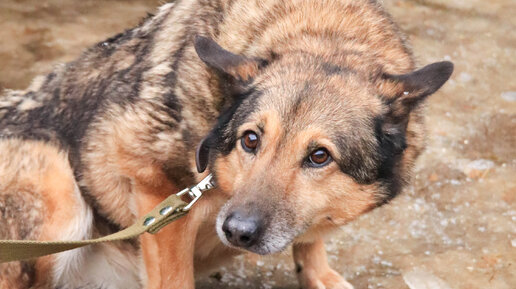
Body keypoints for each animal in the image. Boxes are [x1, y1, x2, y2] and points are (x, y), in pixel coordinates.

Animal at [0, 0, 452, 286]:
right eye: (250, 140)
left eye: (319, 156)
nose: (236, 232)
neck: (321, 33)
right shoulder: (155, 192)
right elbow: (175, 279)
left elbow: (311, 240)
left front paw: (318, 274)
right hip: (59, 188)